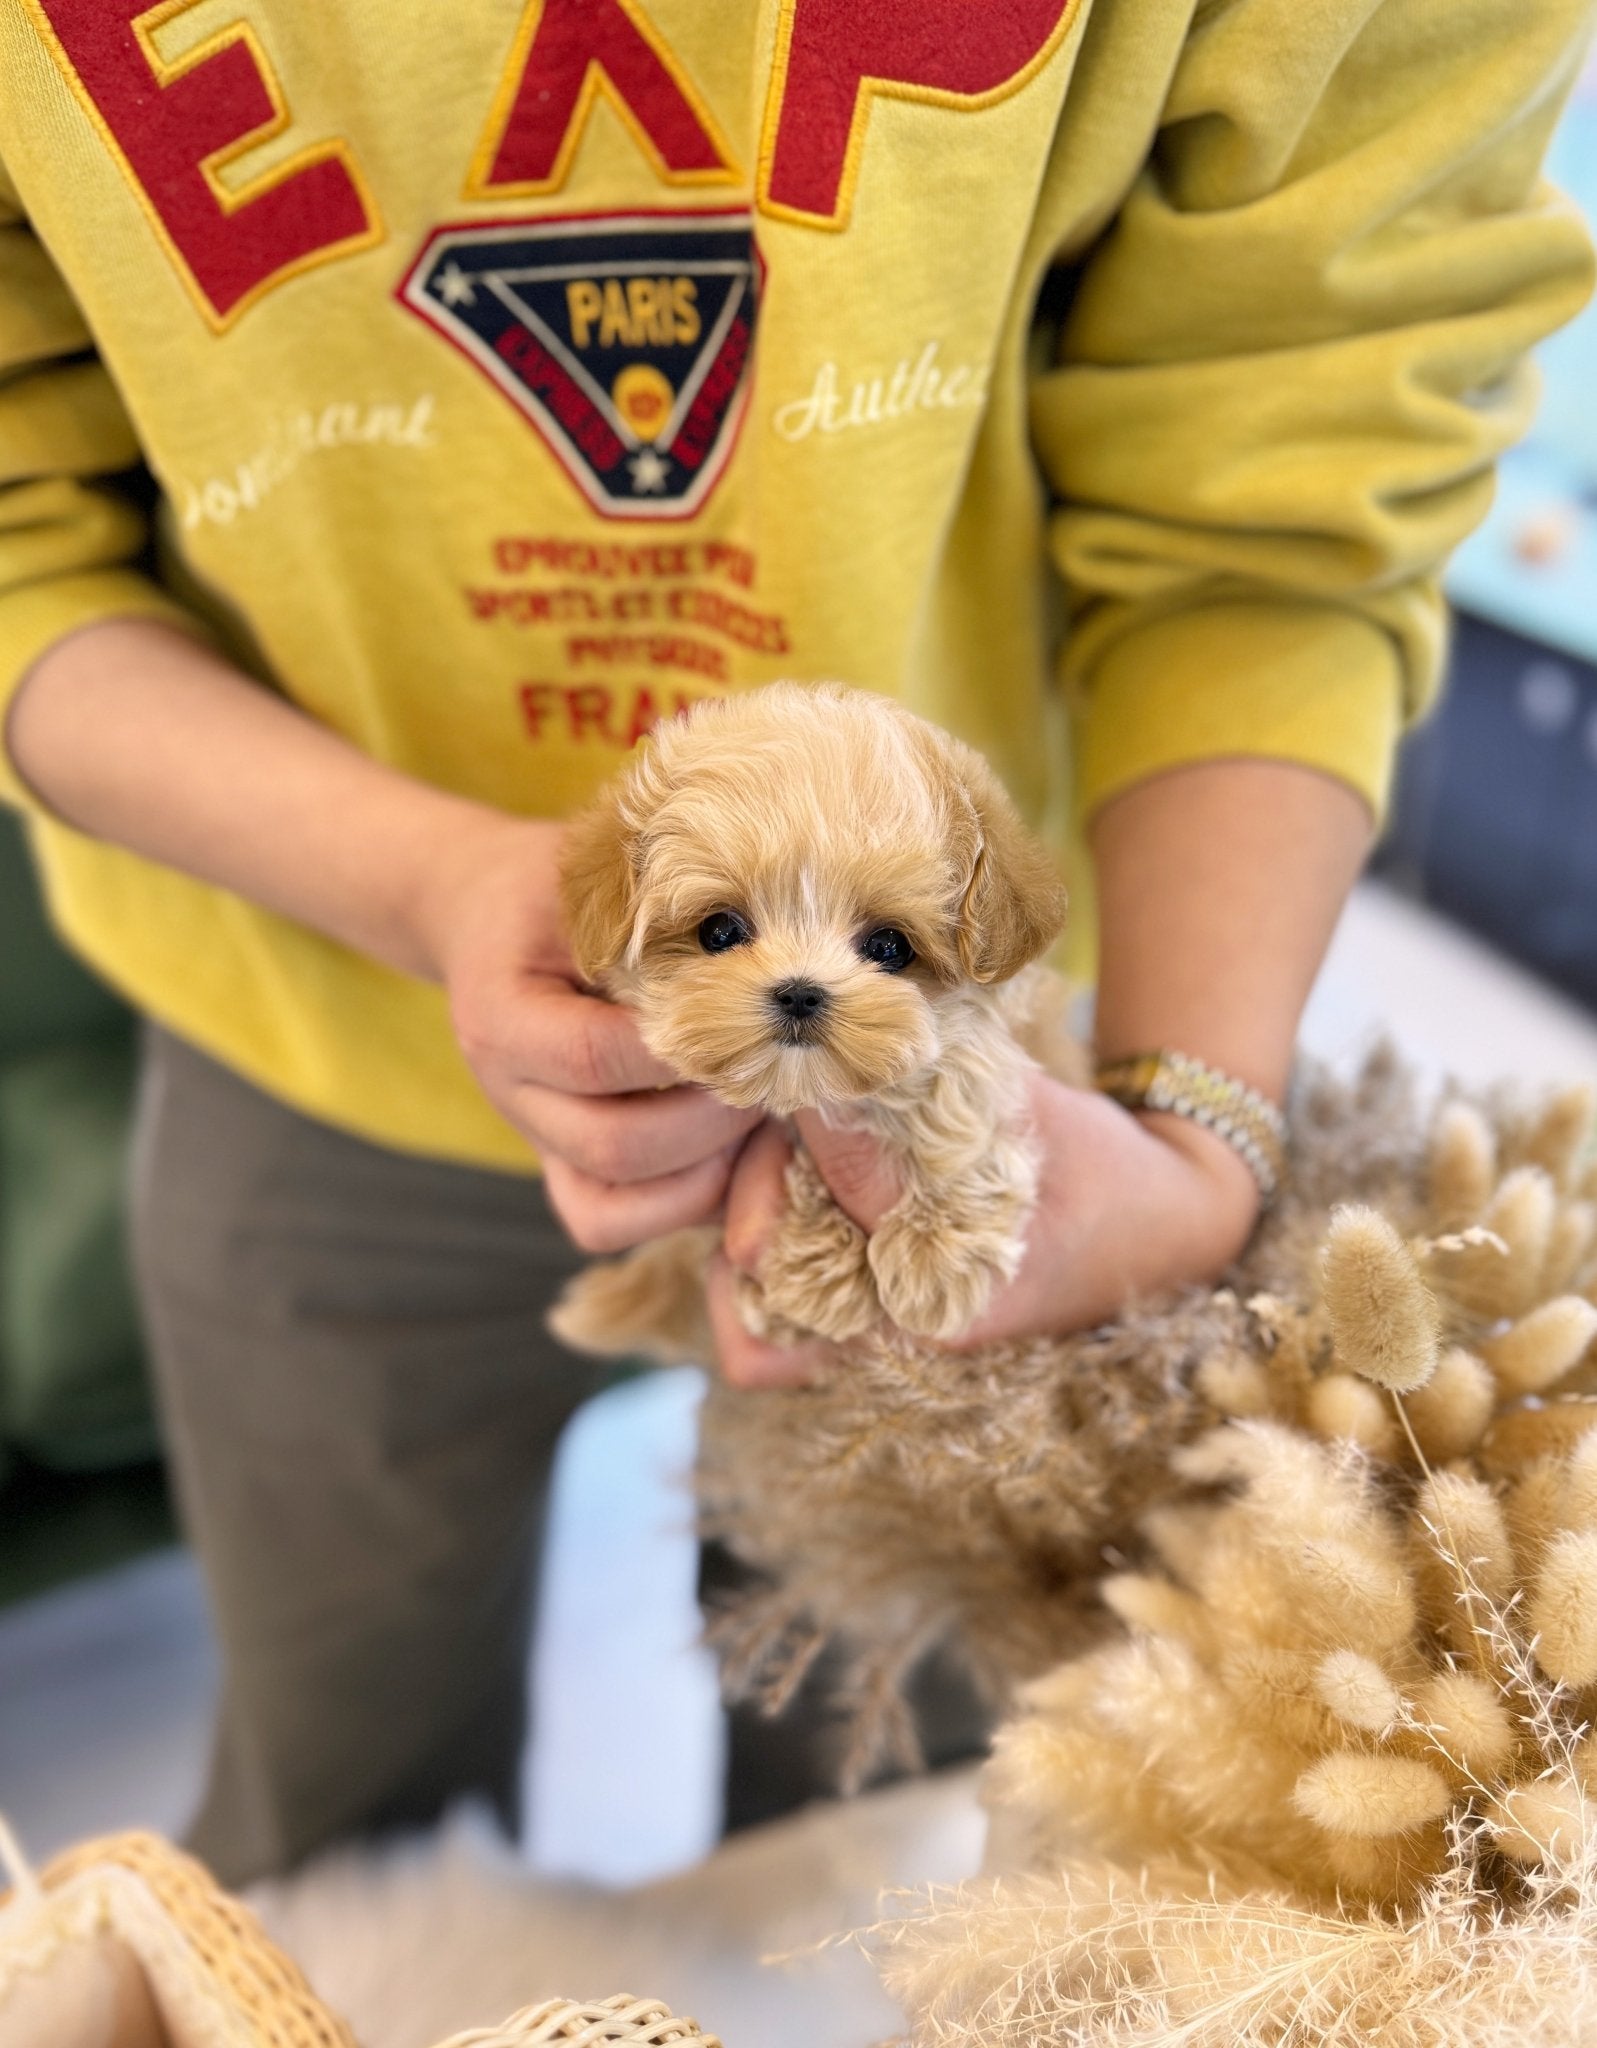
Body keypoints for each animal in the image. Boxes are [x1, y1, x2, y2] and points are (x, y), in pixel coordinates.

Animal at [552, 684, 1072, 1359]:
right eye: (719, 931)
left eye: (890, 946)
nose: (800, 993)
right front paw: (816, 1276)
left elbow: (962, 1087)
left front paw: (934, 1256)